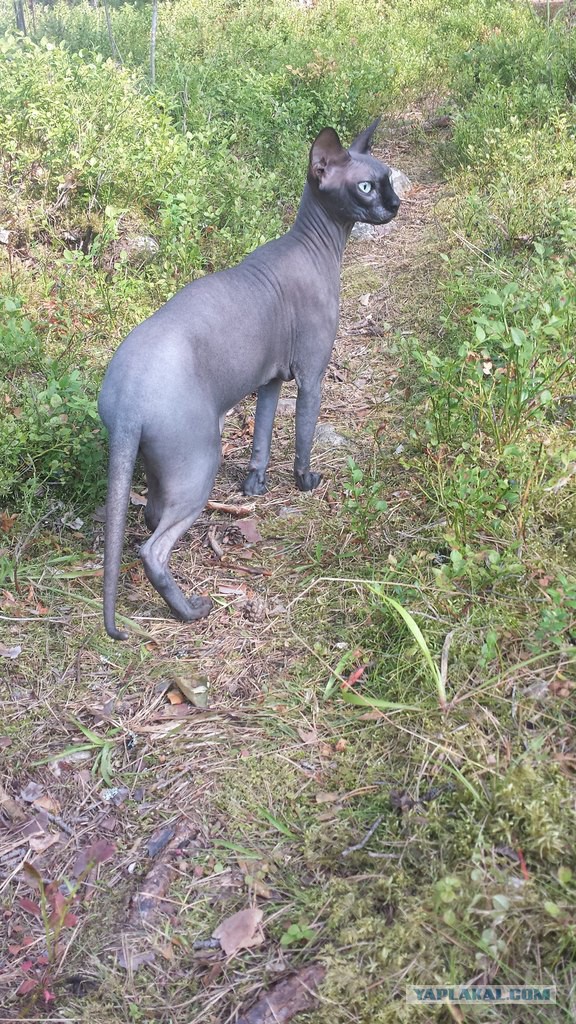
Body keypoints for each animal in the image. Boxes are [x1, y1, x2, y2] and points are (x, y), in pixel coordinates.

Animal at [97, 116, 399, 634]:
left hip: (161, 464)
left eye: (389, 179)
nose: (396, 204)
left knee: (151, 515)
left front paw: (255, 485)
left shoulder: (270, 380)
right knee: (151, 549)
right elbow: (303, 436)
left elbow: (262, 434)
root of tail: (127, 402)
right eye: (365, 187)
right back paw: (191, 610)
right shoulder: (312, 374)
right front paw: (305, 482)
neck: (320, 248)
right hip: (199, 463)